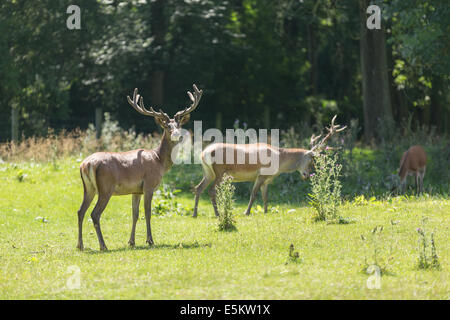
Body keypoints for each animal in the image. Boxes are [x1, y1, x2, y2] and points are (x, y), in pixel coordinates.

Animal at [77, 83, 202, 250]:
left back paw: (80, 245)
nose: (178, 135)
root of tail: (87, 164)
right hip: (106, 187)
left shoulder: (136, 190)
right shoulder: (149, 184)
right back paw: (103, 245)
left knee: (80, 211)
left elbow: (135, 214)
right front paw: (150, 240)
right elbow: (147, 213)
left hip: (88, 188)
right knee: (94, 214)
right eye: (167, 126)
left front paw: (131, 242)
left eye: (179, 125)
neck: (159, 161)